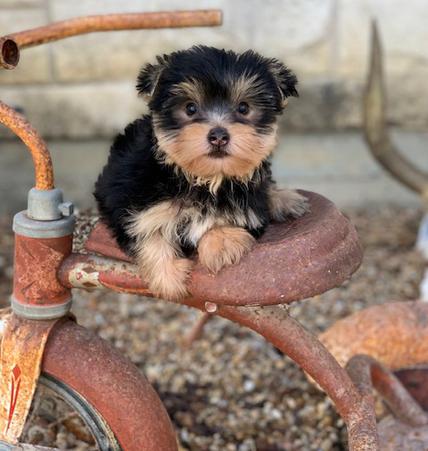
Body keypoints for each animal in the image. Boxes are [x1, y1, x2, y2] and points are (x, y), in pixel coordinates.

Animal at [94, 46, 308, 302]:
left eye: (244, 108)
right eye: (190, 108)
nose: (218, 136)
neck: (204, 178)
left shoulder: (251, 210)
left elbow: (216, 219)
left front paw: (221, 245)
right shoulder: (129, 197)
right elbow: (147, 230)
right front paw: (168, 279)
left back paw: (283, 199)